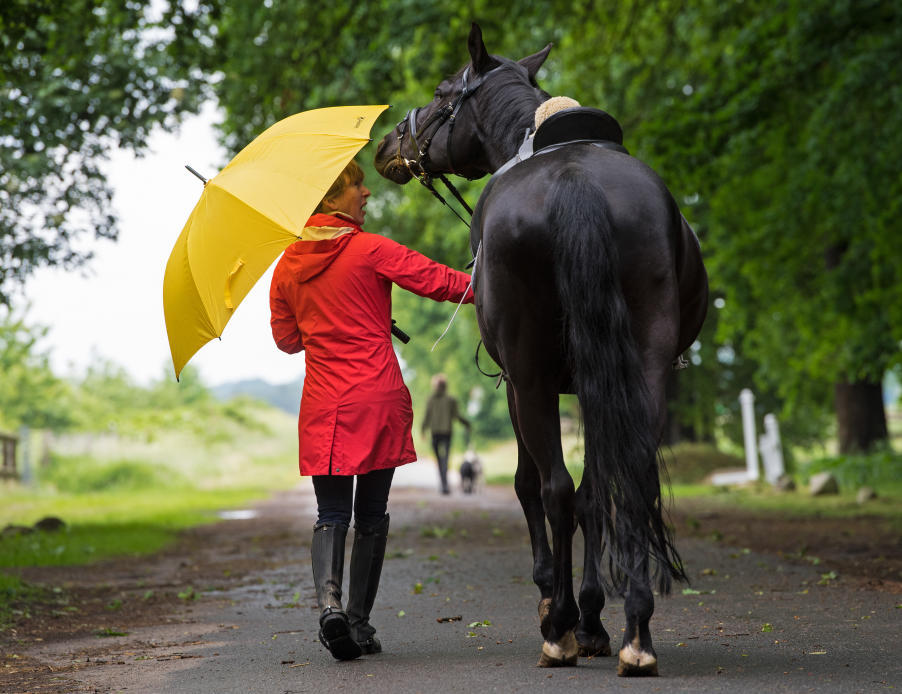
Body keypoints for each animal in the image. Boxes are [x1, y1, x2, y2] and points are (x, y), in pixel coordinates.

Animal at [372, 24, 708, 676]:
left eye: (442, 91)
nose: (390, 142)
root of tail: (577, 181)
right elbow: (596, 490)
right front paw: (595, 618)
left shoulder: (520, 384)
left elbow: (535, 485)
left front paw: (561, 607)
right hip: (644, 368)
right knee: (626, 479)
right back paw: (635, 632)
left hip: (529, 376)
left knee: (554, 488)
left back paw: (560, 631)